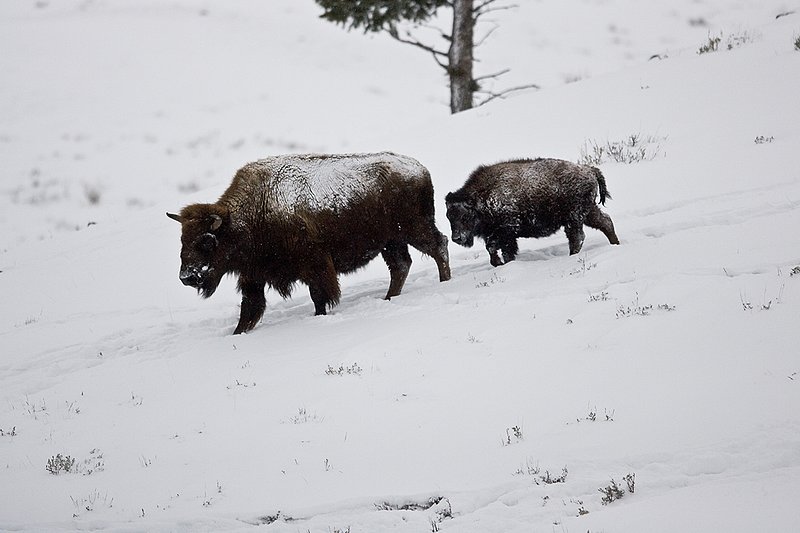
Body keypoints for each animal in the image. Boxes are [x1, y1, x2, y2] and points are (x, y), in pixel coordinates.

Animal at [167, 152, 451, 334]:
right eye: (182, 240)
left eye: (207, 241)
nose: (187, 277)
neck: (252, 213)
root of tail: (419, 168)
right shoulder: (254, 275)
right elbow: (249, 308)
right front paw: (238, 333)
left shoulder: (315, 266)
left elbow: (319, 297)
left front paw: (319, 317)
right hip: (390, 242)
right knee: (401, 265)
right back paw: (389, 298)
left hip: (414, 230)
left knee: (438, 246)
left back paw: (444, 282)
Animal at [445, 158, 619, 266]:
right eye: (448, 217)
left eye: (465, 216)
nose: (456, 238)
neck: (482, 197)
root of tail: (589, 170)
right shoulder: (498, 235)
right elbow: (495, 250)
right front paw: (499, 263)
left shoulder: (506, 232)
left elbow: (498, 249)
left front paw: (503, 263)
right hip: (588, 212)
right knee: (605, 222)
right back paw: (615, 244)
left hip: (574, 217)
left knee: (578, 237)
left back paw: (573, 255)